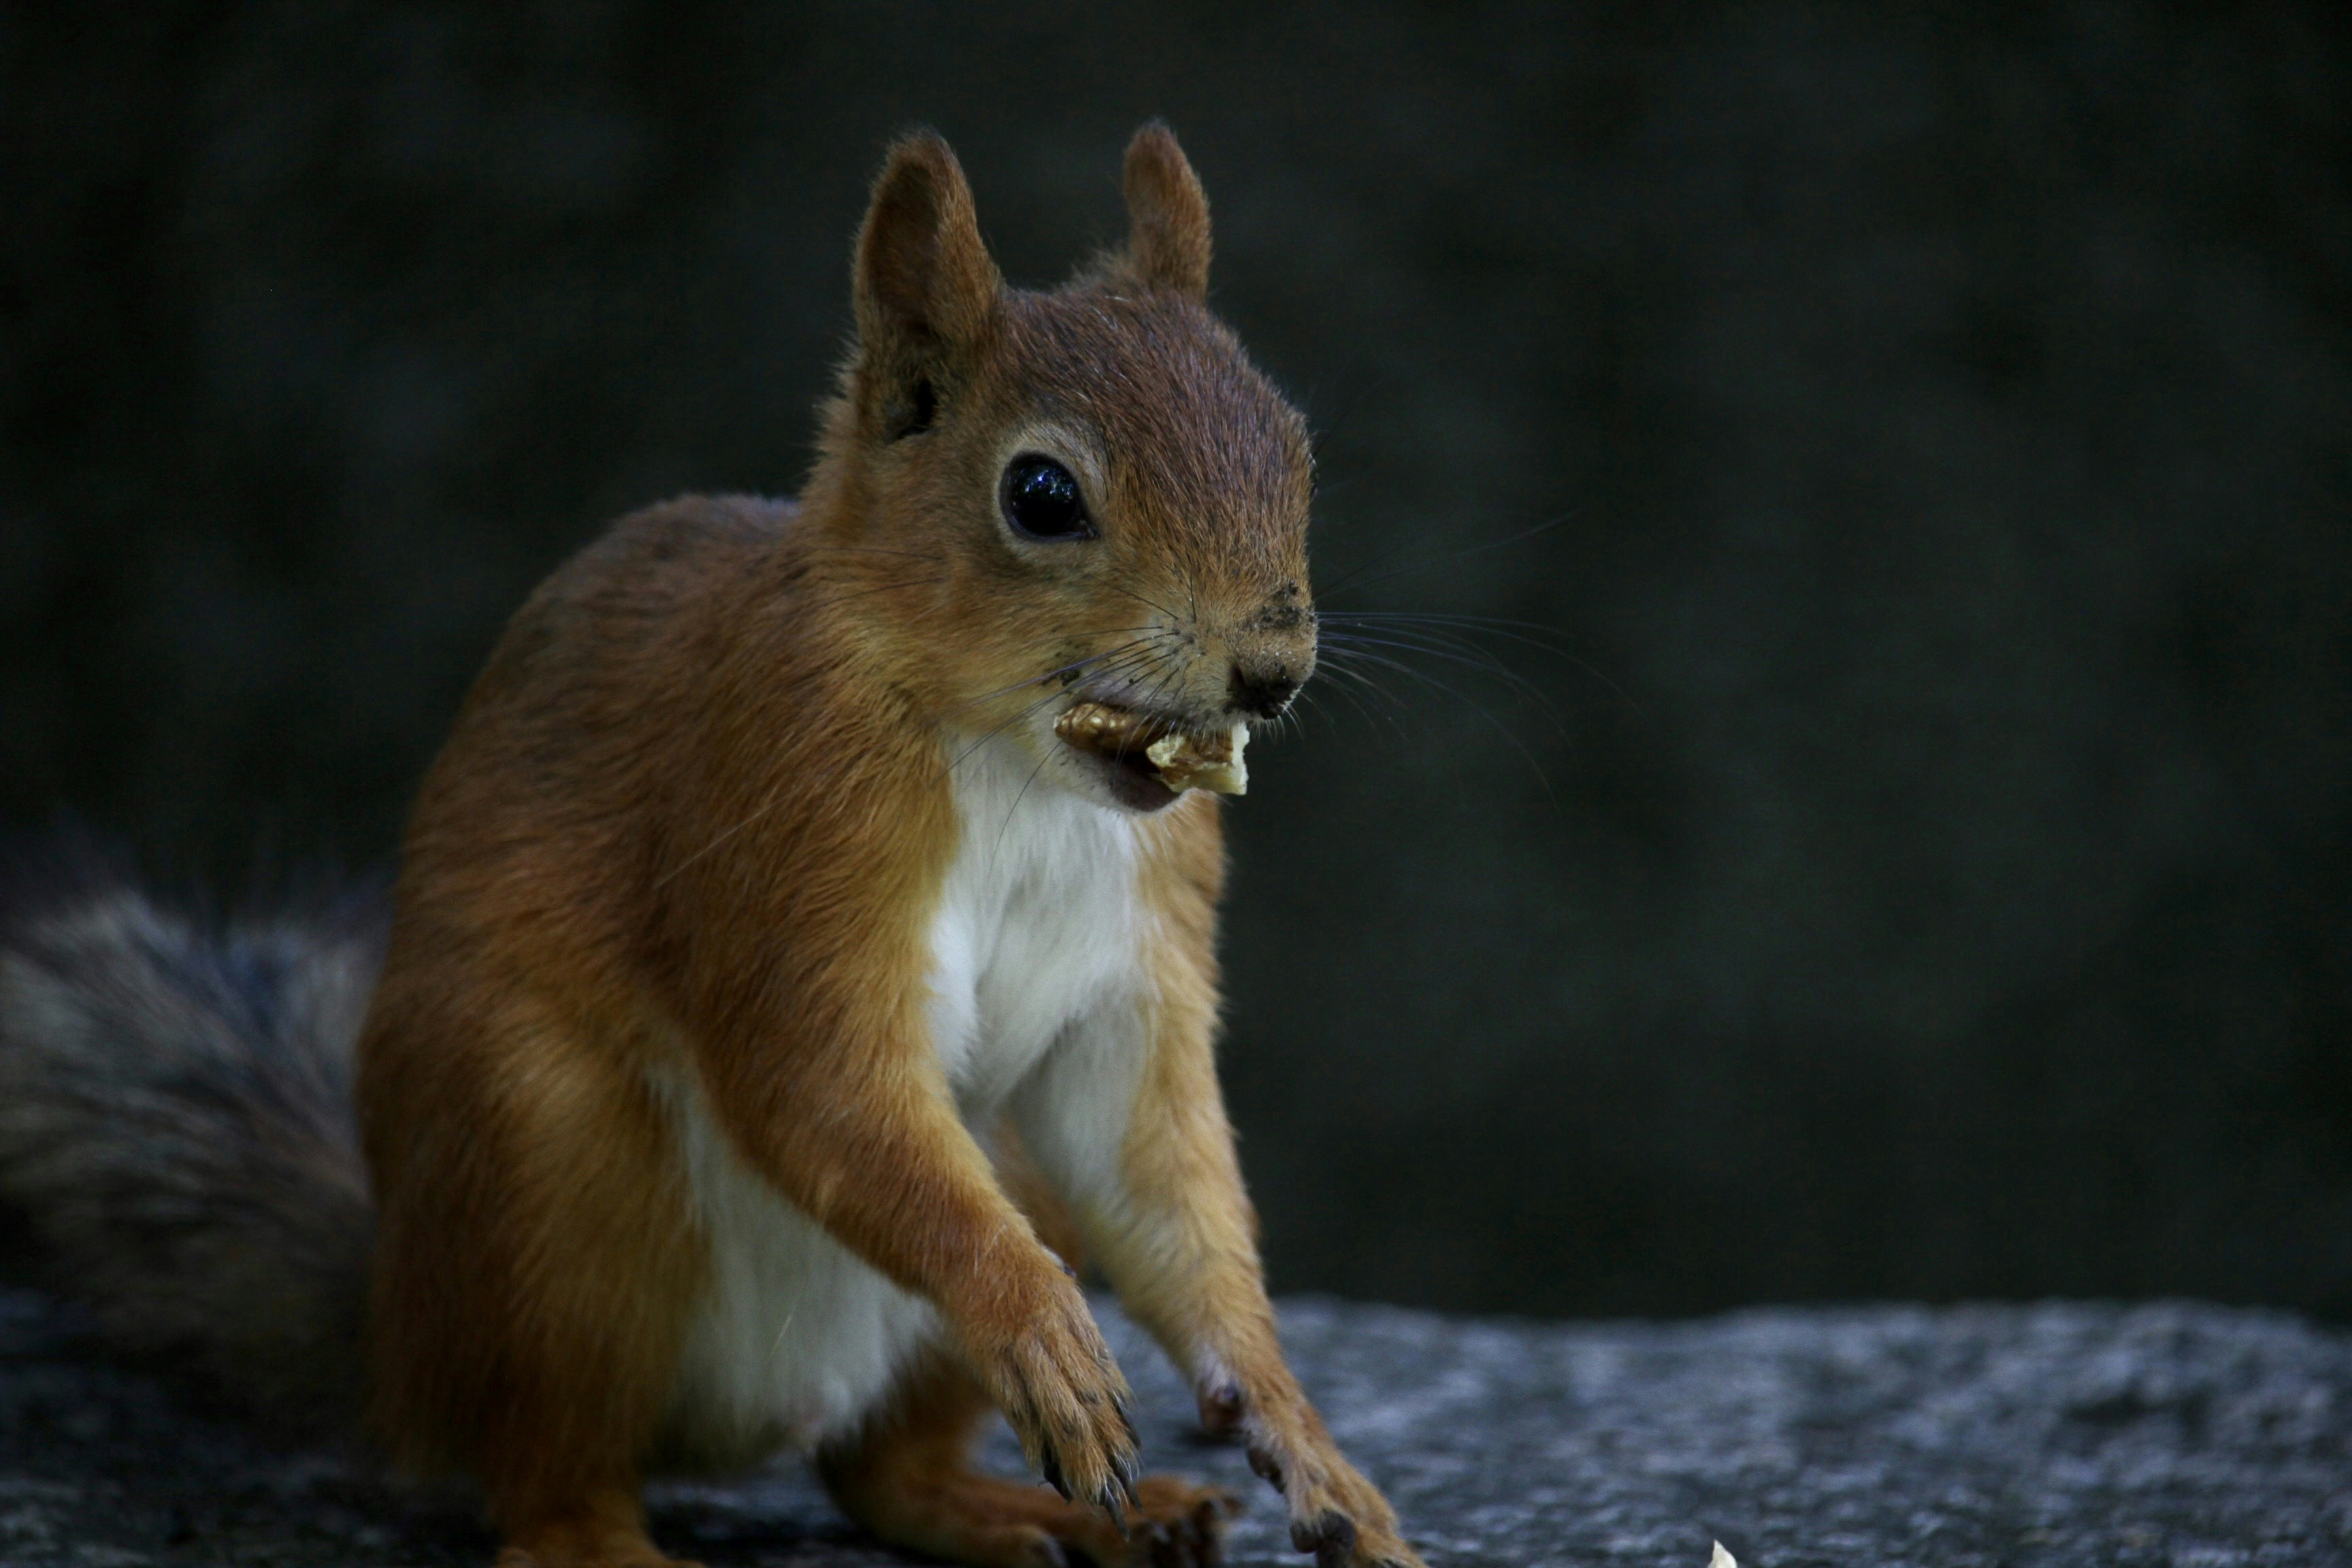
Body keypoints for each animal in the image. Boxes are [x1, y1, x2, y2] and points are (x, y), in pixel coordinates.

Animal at [0, 124, 1420, 1568]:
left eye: (1293, 447)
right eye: (1040, 494)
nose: (1272, 668)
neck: (1019, 762)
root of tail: (396, 1344)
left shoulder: (1138, 956)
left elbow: (1161, 1175)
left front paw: (1302, 1436)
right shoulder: (781, 822)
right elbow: (818, 1084)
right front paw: (1037, 1322)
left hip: (973, 1205)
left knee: (879, 1471)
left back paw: (1039, 1508)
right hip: (543, 1176)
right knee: (542, 1462)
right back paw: (601, 1536)